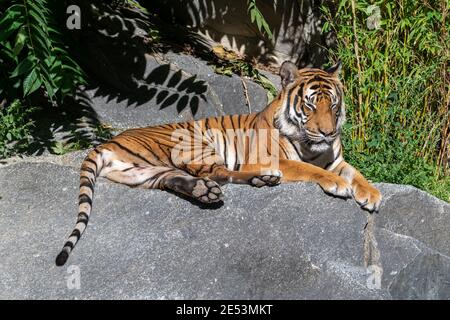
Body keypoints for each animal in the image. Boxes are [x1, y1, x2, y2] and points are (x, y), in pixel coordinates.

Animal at [54, 61, 382, 266]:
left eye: (334, 104)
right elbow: (309, 169)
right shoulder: (273, 158)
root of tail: (106, 142)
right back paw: (262, 178)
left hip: (145, 174)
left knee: (186, 179)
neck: (312, 145)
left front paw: (372, 194)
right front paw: (339, 185)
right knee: (220, 172)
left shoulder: (335, 159)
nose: (328, 132)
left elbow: (356, 172)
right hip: (193, 146)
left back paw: (208, 191)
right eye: (311, 105)